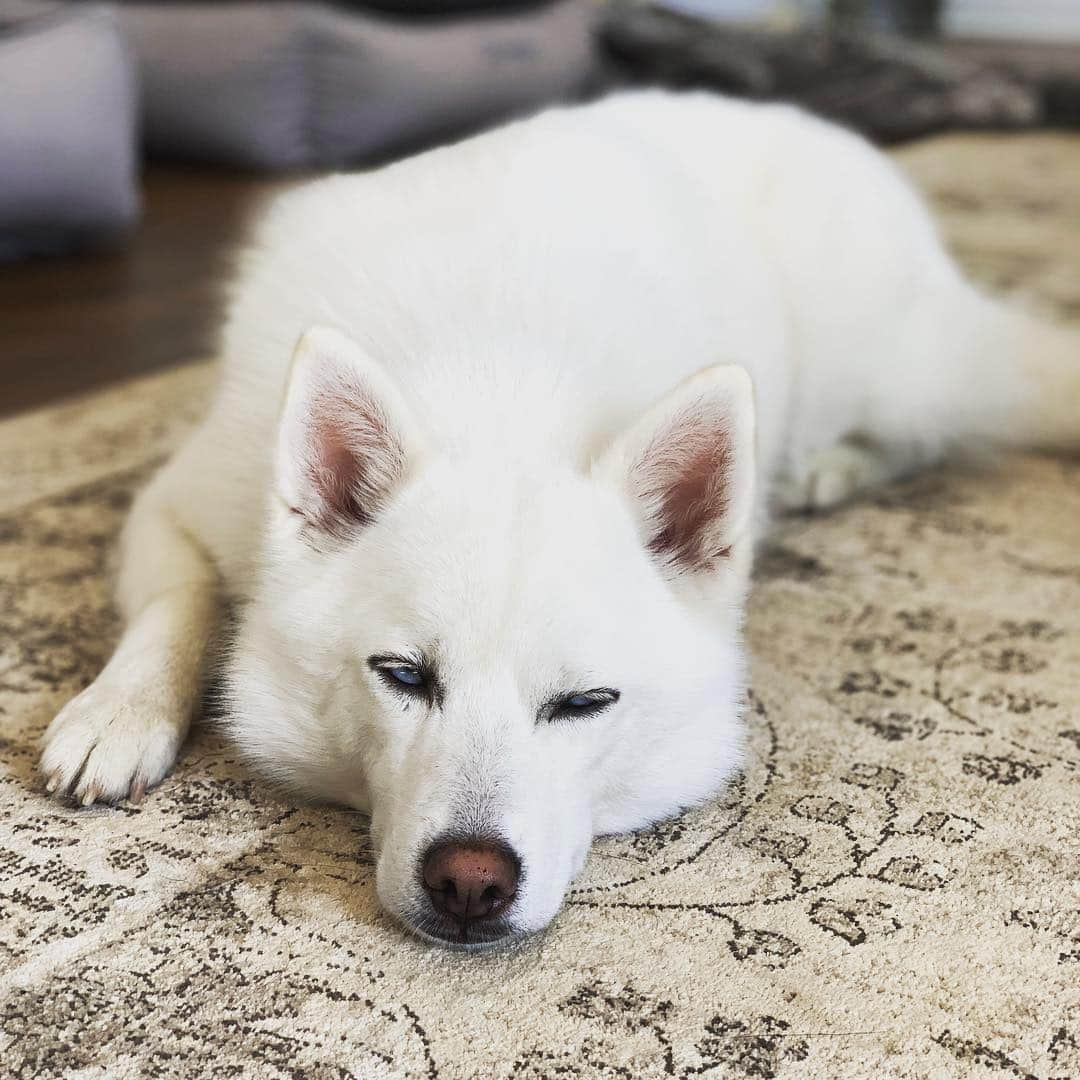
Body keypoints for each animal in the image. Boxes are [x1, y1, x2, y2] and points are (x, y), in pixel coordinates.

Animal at [38, 97, 1075, 950]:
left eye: (585, 703)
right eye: (403, 676)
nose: (469, 881)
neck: (502, 397)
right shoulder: (182, 494)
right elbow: (178, 598)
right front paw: (118, 711)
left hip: (893, 368)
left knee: (944, 418)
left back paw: (831, 464)